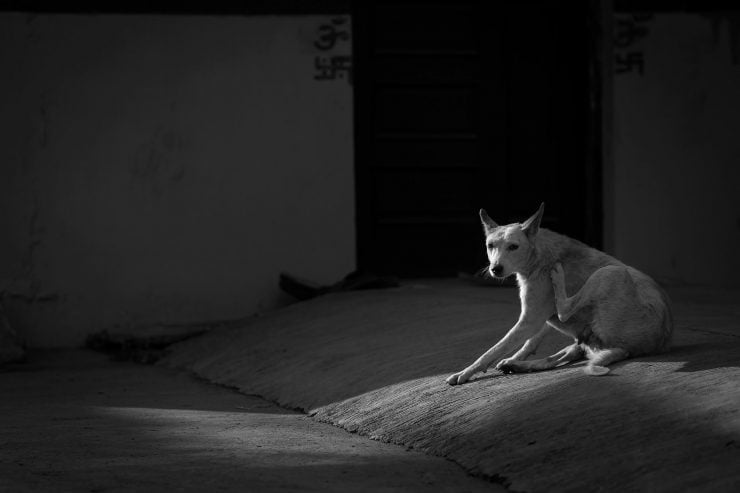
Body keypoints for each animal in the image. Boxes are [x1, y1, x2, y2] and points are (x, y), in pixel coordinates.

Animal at [446, 204, 672, 384]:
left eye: (513, 247)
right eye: (490, 246)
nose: (495, 269)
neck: (537, 253)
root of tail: (632, 349)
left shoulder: (530, 320)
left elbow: (492, 351)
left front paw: (464, 373)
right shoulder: (536, 320)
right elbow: (529, 343)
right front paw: (514, 359)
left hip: (610, 272)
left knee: (563, 311)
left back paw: (558, 278)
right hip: (581, 340)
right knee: (554, 357)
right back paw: (519, 366)